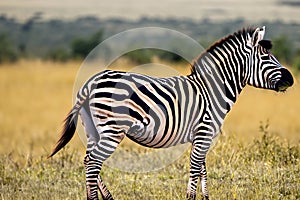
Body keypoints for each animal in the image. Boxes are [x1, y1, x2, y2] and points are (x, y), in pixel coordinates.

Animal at [48, 27, 292, 200]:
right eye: (266, 58)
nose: (291, 79)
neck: (211, 90)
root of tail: (92, 82)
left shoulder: (202, 137)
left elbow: (203, 171)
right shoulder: (204, 133)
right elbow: (195, 169)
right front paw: (191, 198)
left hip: (93, 129)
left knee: (88, 160)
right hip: (112, 130)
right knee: (93, 162)